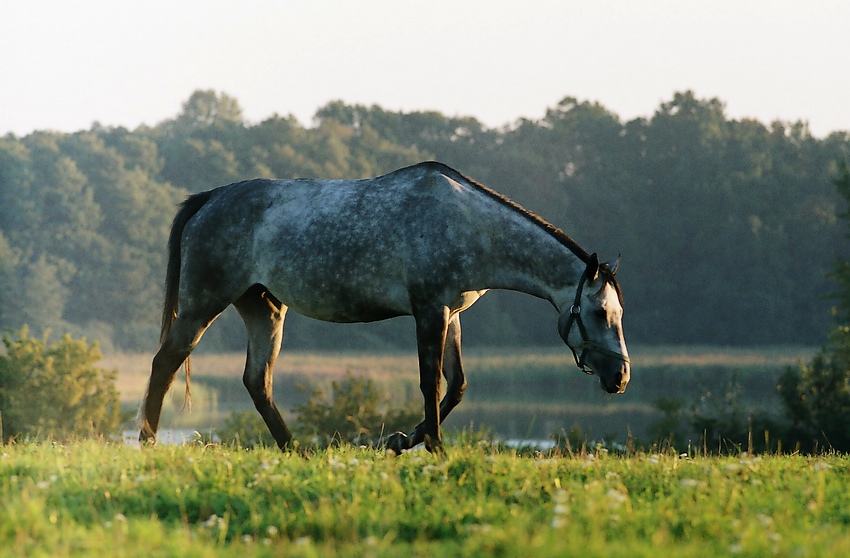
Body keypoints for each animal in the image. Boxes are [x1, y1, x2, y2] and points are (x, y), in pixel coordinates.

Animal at [139, 162, 628, 456]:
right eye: (600, 314)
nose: (620, 377)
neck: (467, 226)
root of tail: (210, 198)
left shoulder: (451, 315)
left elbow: (456, 386)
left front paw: (401, 440)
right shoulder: (429, 310)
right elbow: (430, 383)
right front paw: (433, 448)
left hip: (264, 308)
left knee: (257, 382)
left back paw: (296, 451)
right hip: (205, 303)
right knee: (165, 362)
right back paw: (147, 443)